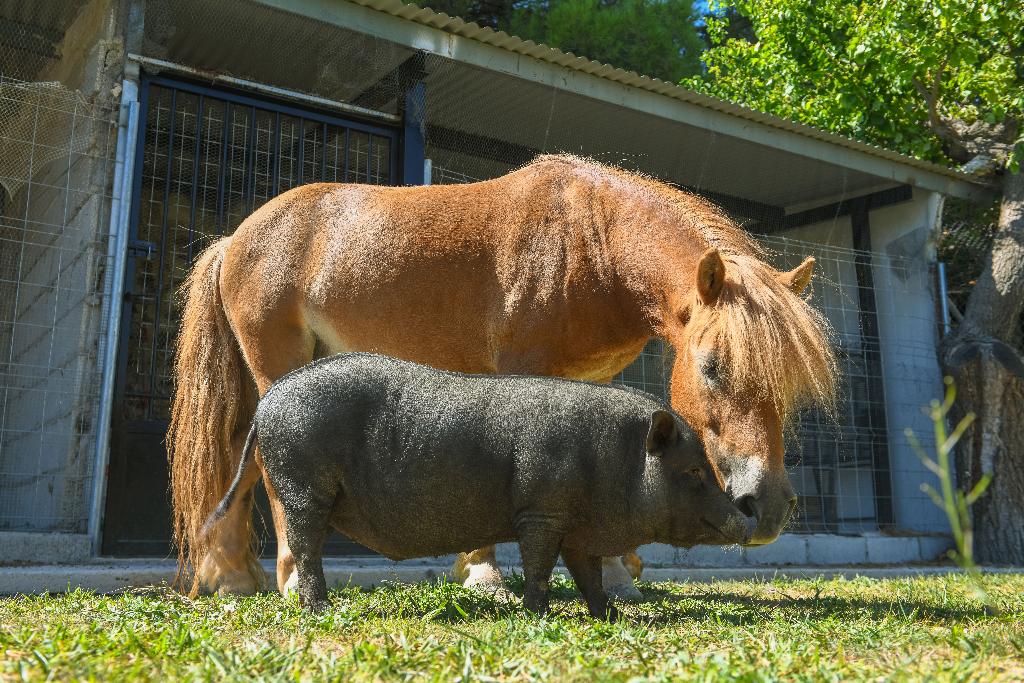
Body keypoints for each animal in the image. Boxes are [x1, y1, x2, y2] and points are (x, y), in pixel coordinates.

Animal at [167, 156, 835, 598]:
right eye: (713, 367)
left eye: (790, 384)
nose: (767, 507)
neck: (585, 242)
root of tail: (235, 238)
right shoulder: (523, 371)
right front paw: (487, 573)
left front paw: (612, 573)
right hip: (277, 368)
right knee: (267, 467)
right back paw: (283, 580)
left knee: (239, 456)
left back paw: (232, 578)